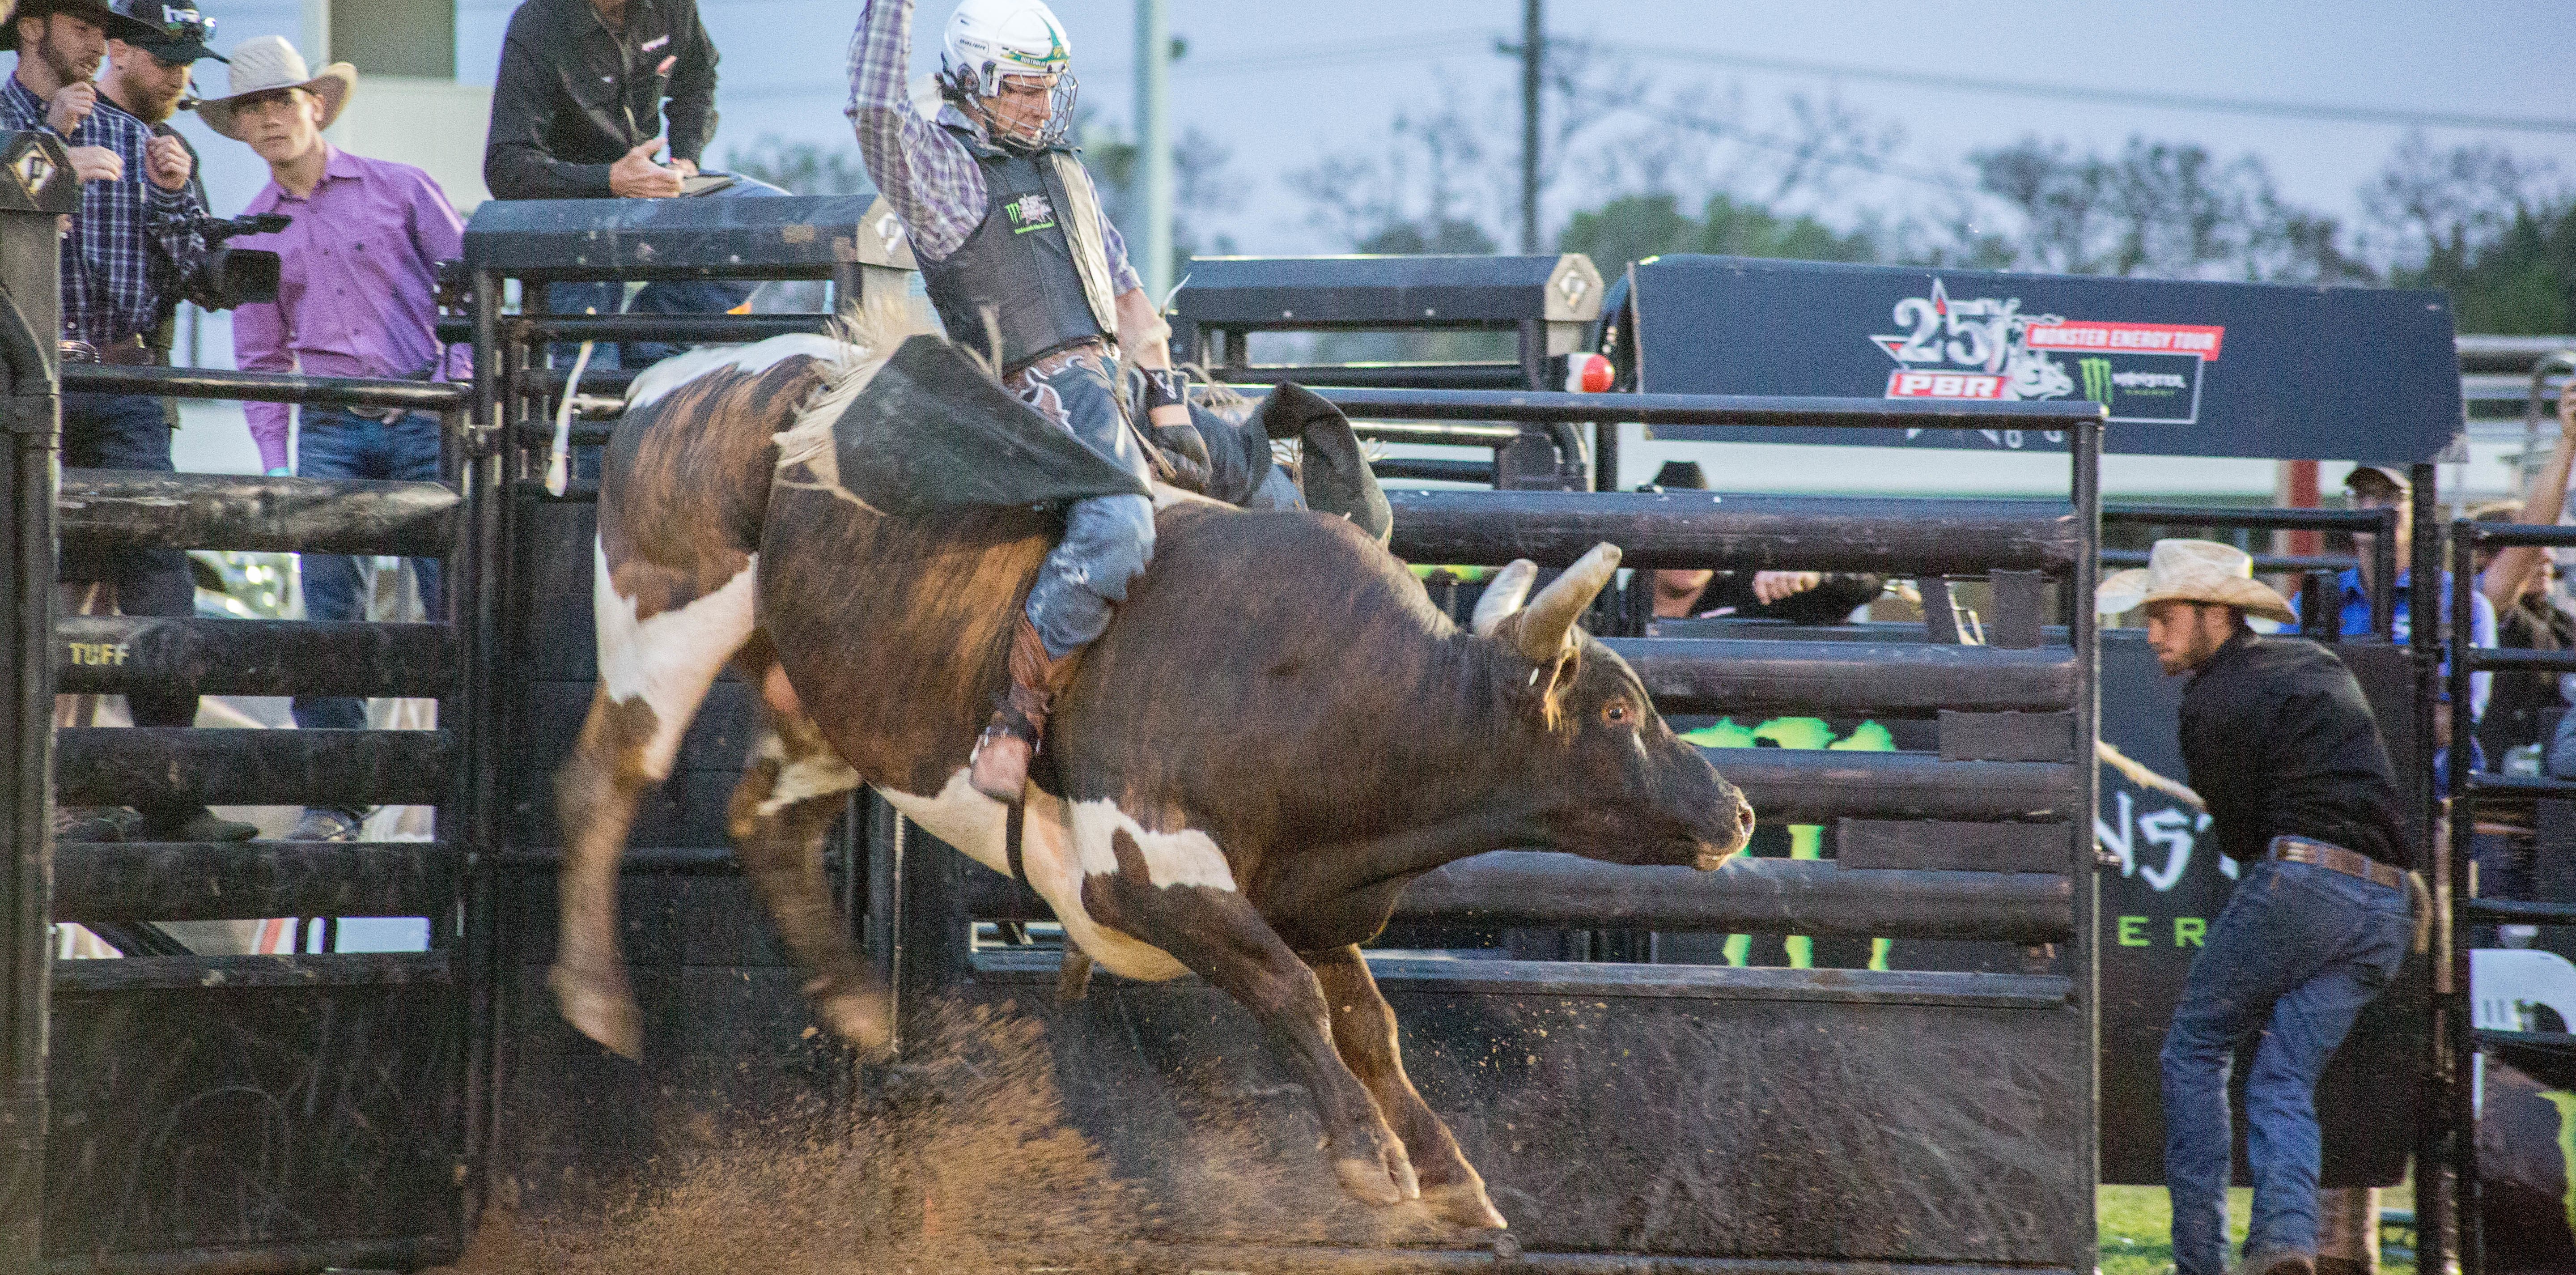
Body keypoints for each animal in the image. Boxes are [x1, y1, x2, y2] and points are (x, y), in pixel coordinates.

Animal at [543, 309, 1752, 1226]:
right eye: (1616, 708)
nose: (1736, 811)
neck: (1332, 697)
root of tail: (678, 377)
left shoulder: (1302, 892)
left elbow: (1368, 1023)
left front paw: (1450, 1177)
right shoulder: (1140, 874)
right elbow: (1288, 995)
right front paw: (1370, 1162)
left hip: (820, 693)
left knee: (765, 824)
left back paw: (857, 1007)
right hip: (666, 612)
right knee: (605, 782)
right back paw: (596, 997)